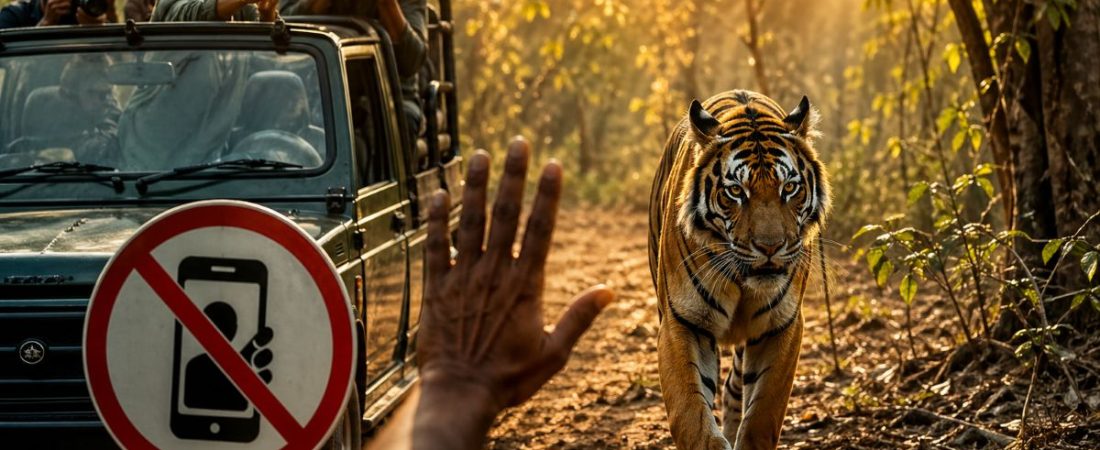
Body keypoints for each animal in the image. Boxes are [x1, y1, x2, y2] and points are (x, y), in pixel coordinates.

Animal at [647, 90, 829, 450]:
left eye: (789, 188)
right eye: (735, 191)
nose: (770, 247)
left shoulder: (782, 325)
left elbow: (763, 413)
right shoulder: (682, 322)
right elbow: (690, 413)